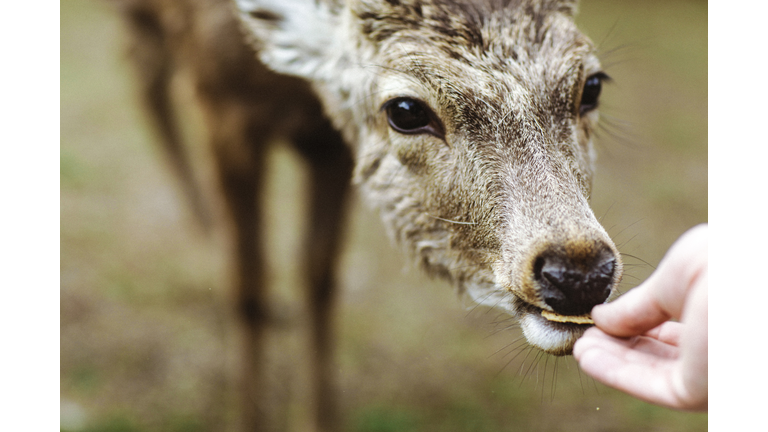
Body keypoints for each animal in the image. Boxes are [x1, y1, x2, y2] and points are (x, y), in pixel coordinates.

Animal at [109, 0, 624, 430]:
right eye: (406, 109)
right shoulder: (223, 103)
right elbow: (247, 284)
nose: (579, 271)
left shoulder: (331, 140)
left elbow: (318, 274)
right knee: (143, 72)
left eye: (592, 86)